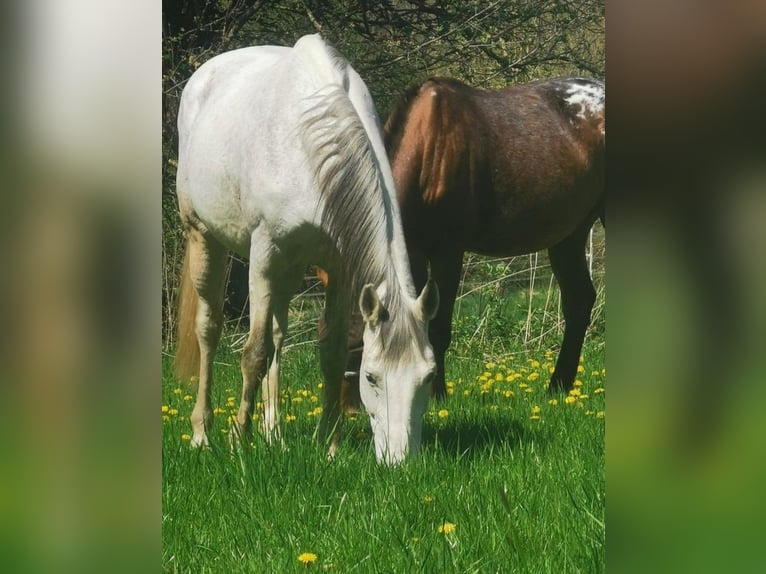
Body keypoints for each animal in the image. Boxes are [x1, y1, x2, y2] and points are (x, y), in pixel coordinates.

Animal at [175, 33, 438, 466]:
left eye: (429, 376)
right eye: (371, 377)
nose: (400, 462)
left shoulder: (338, 267)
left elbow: (330, 352)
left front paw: (328, 444)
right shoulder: (265, 254)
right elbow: (254, 352)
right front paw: (238, 440)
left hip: (290, 269)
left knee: (279, 334)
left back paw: (274, 435)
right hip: (203, 237)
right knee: (209, 330)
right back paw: (202, 433)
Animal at [320, 76, 604, 402]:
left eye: (356, 350)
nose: (341, 409)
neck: (426, 149)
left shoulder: (448, 252)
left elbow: (438, 327)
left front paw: (437, 396)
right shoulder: (414, 252)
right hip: (569, 235)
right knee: (579, 301)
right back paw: (558, 386)